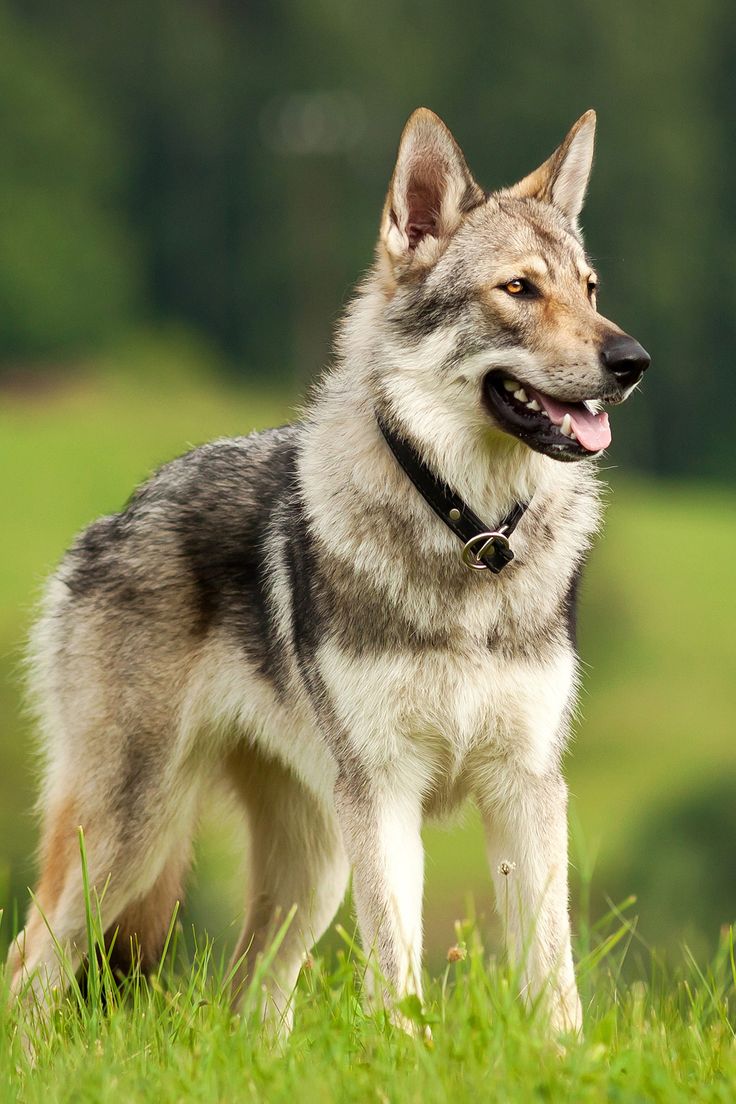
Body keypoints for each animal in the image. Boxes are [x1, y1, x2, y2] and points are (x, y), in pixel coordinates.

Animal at [7, 105, 648, 1033]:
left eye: (591, 290)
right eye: (519, 290)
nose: (632, 360)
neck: (470, 537)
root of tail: (113, 517)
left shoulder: (525, 787)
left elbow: (551, 978)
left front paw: (562, 1058)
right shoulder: (384, 793)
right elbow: (397, 972)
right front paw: (409, 1054)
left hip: (307, 875)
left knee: (248, 1004)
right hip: (135, 836)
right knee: (27, 972)